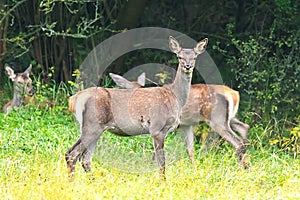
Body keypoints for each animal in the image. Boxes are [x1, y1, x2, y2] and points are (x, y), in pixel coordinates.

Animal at [66, 36, 207, 178]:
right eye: (179, 56)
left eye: (194, 57)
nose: (188, 66)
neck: (175, 97)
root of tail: (74, 99)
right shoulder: (156, 128)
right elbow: (161, 163)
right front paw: (163, 181)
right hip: (92, 125)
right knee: (72, 154)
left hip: (93, 128)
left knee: (84, 158)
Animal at [109, 71, 250, 166]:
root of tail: (235, 94)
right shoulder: (186, 125)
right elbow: (190, 150)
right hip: (230, 118)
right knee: (245, 128)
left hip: (217, 120)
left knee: (238, 142)